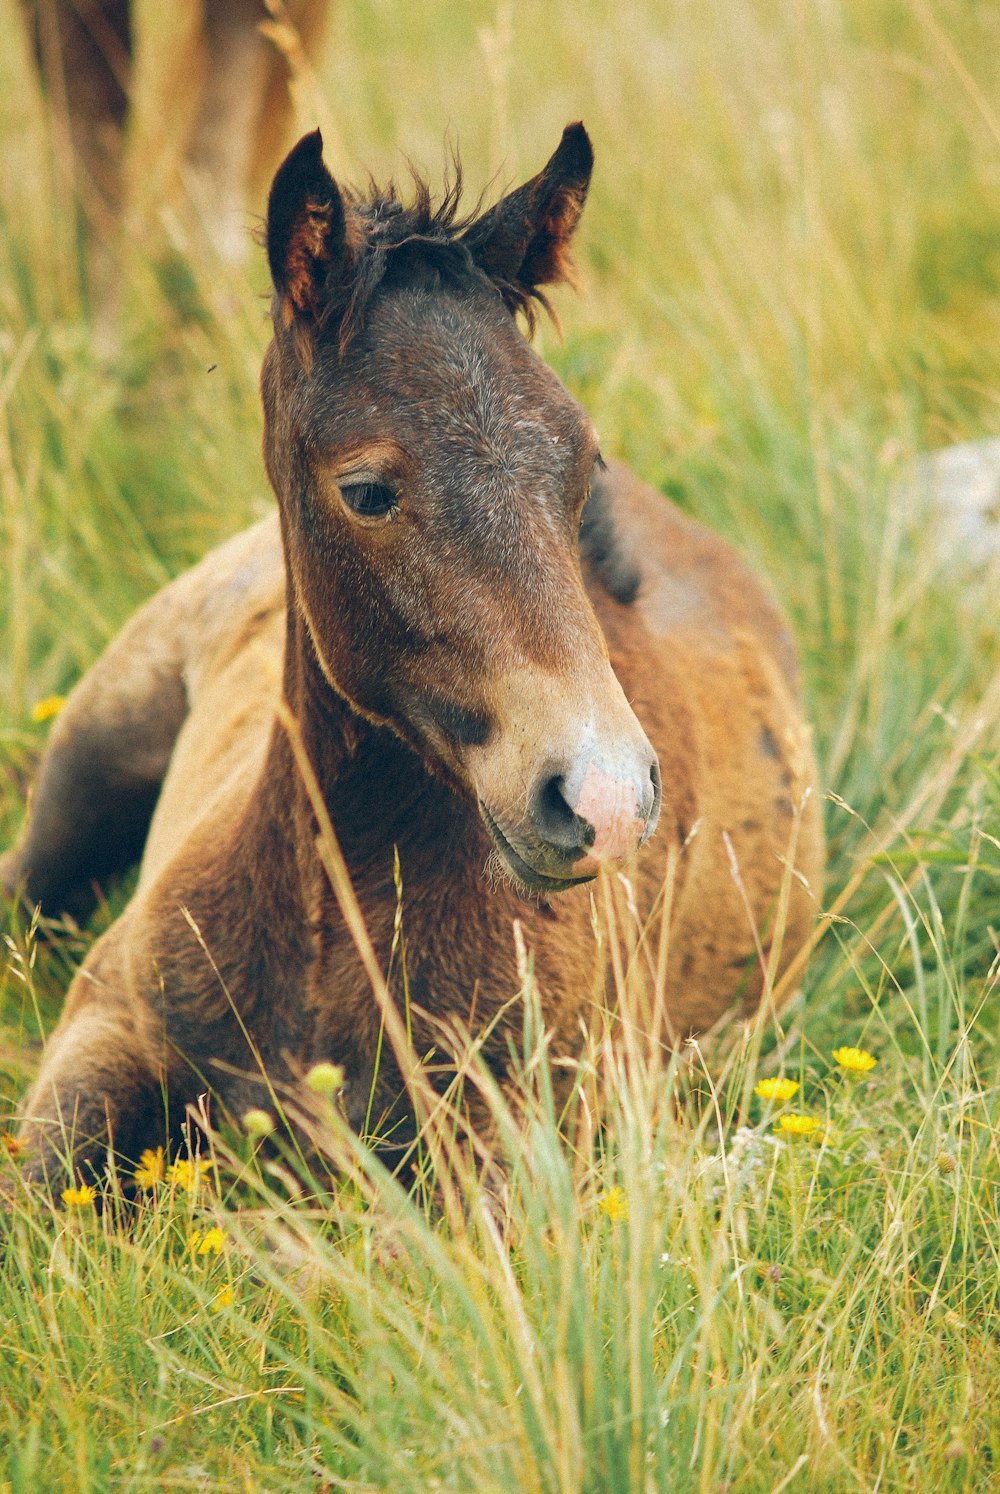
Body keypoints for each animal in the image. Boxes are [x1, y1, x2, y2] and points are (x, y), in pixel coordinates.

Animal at [1, 119, 819, 1189]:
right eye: (366, 490)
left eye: (584, 461)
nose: (603, 799)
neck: (328, 931)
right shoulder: (104, 1027)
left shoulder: (510, 1145)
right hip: (85, 771)